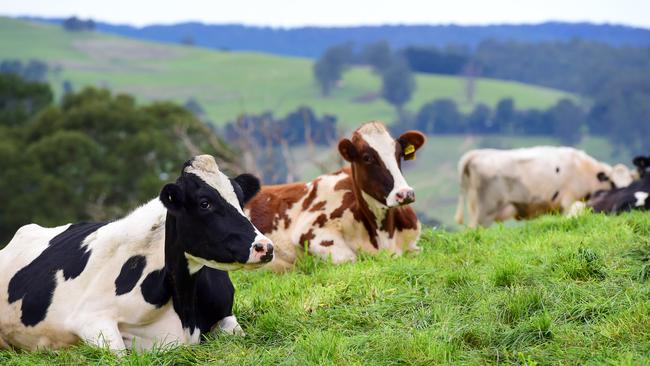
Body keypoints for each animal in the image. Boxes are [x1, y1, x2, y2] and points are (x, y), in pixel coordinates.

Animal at [0, 156, 272, 354]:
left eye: (240, 200)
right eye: (205, 203)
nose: (265, 247)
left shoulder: (226, 314)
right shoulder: (90, 319)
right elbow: (119, 353)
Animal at [244, 121, 426, 272]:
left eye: (399, 154)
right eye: (367, 158)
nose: (405, 193)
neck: (383, 233)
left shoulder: (413, 244)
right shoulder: (310, 231)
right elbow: (349, 258)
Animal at [450, 145, 632, 226]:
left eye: (630, 183)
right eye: (613, 182)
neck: (584, 169)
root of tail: (475, 154)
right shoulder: (568, 200)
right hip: (485, 211)